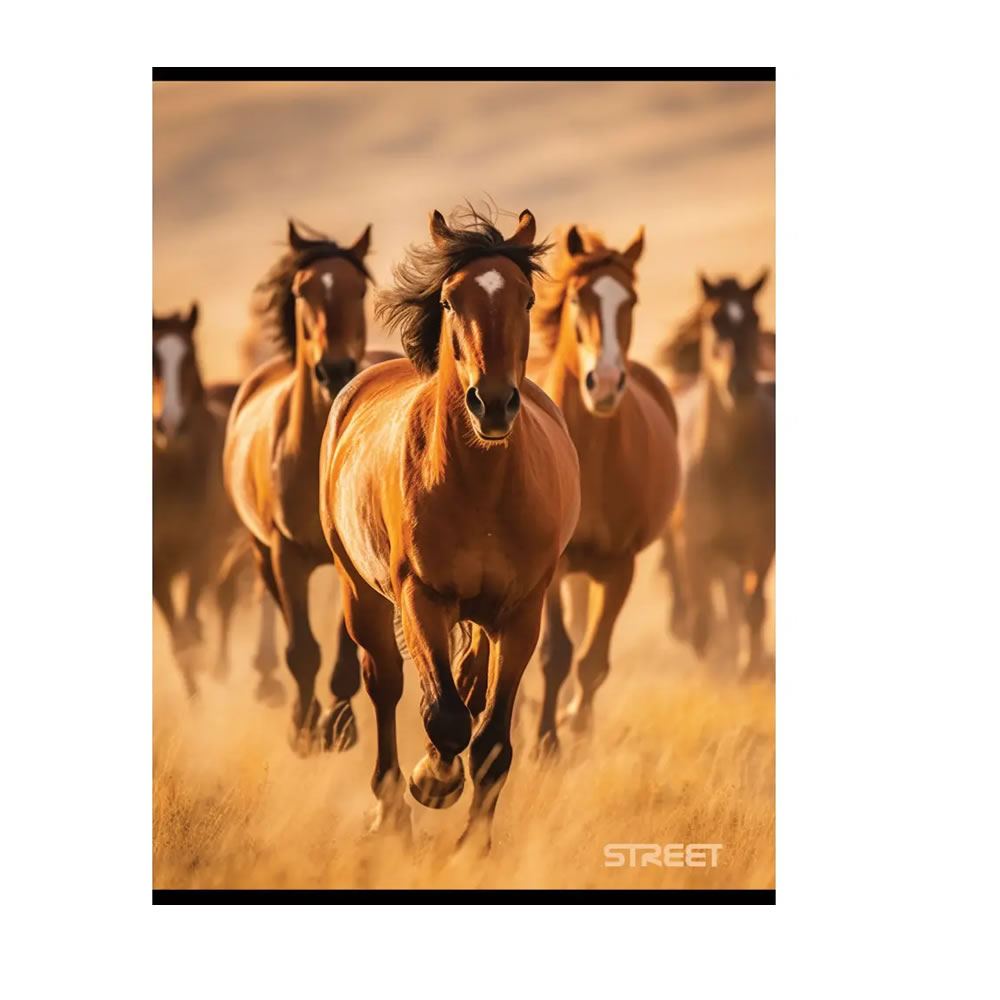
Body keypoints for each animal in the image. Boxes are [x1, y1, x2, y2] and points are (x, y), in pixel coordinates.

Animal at [153, 303, 277, 697]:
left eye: (189, 358)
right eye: (152, 360)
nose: (169, 425)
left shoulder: (202, 553)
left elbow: (192, 629)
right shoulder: (158, 564)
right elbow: (181, 639)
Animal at [224, 219, 398, 753]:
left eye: (359, 288)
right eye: (303, 291)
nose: (335, 369)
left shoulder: (353, 560)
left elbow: (344, 653)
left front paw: (339, 726)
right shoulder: (285, 553)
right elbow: (302, 648)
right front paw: (304, 727)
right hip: (263, 553)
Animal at [319, 207, 580, 850]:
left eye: (526, 297)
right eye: (448, 298)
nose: (493, 403)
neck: (481, 486)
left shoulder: (523, 611)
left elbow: (491, 741)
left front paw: (474, 846)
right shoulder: (422, 596)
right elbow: (445, 717)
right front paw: (432, 781)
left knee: (470, 682)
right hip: (360, 592)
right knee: (386, 684)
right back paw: (391, 807)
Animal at [528, 225, 681, 755]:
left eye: (630, 300)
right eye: (579, 298)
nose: (607, 383)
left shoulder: (619, 566)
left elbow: (592, 659)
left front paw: (576, 724)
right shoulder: (552, 569)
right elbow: (556, 652)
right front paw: (545, 742)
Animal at [660, 271, 775, 675]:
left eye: (754, 318)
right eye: (715, 320)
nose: (740, 383)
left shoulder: (761, 539)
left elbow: (753, 606)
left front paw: (748, 665)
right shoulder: (693, 542)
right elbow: (702, 614)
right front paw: (710, 661)